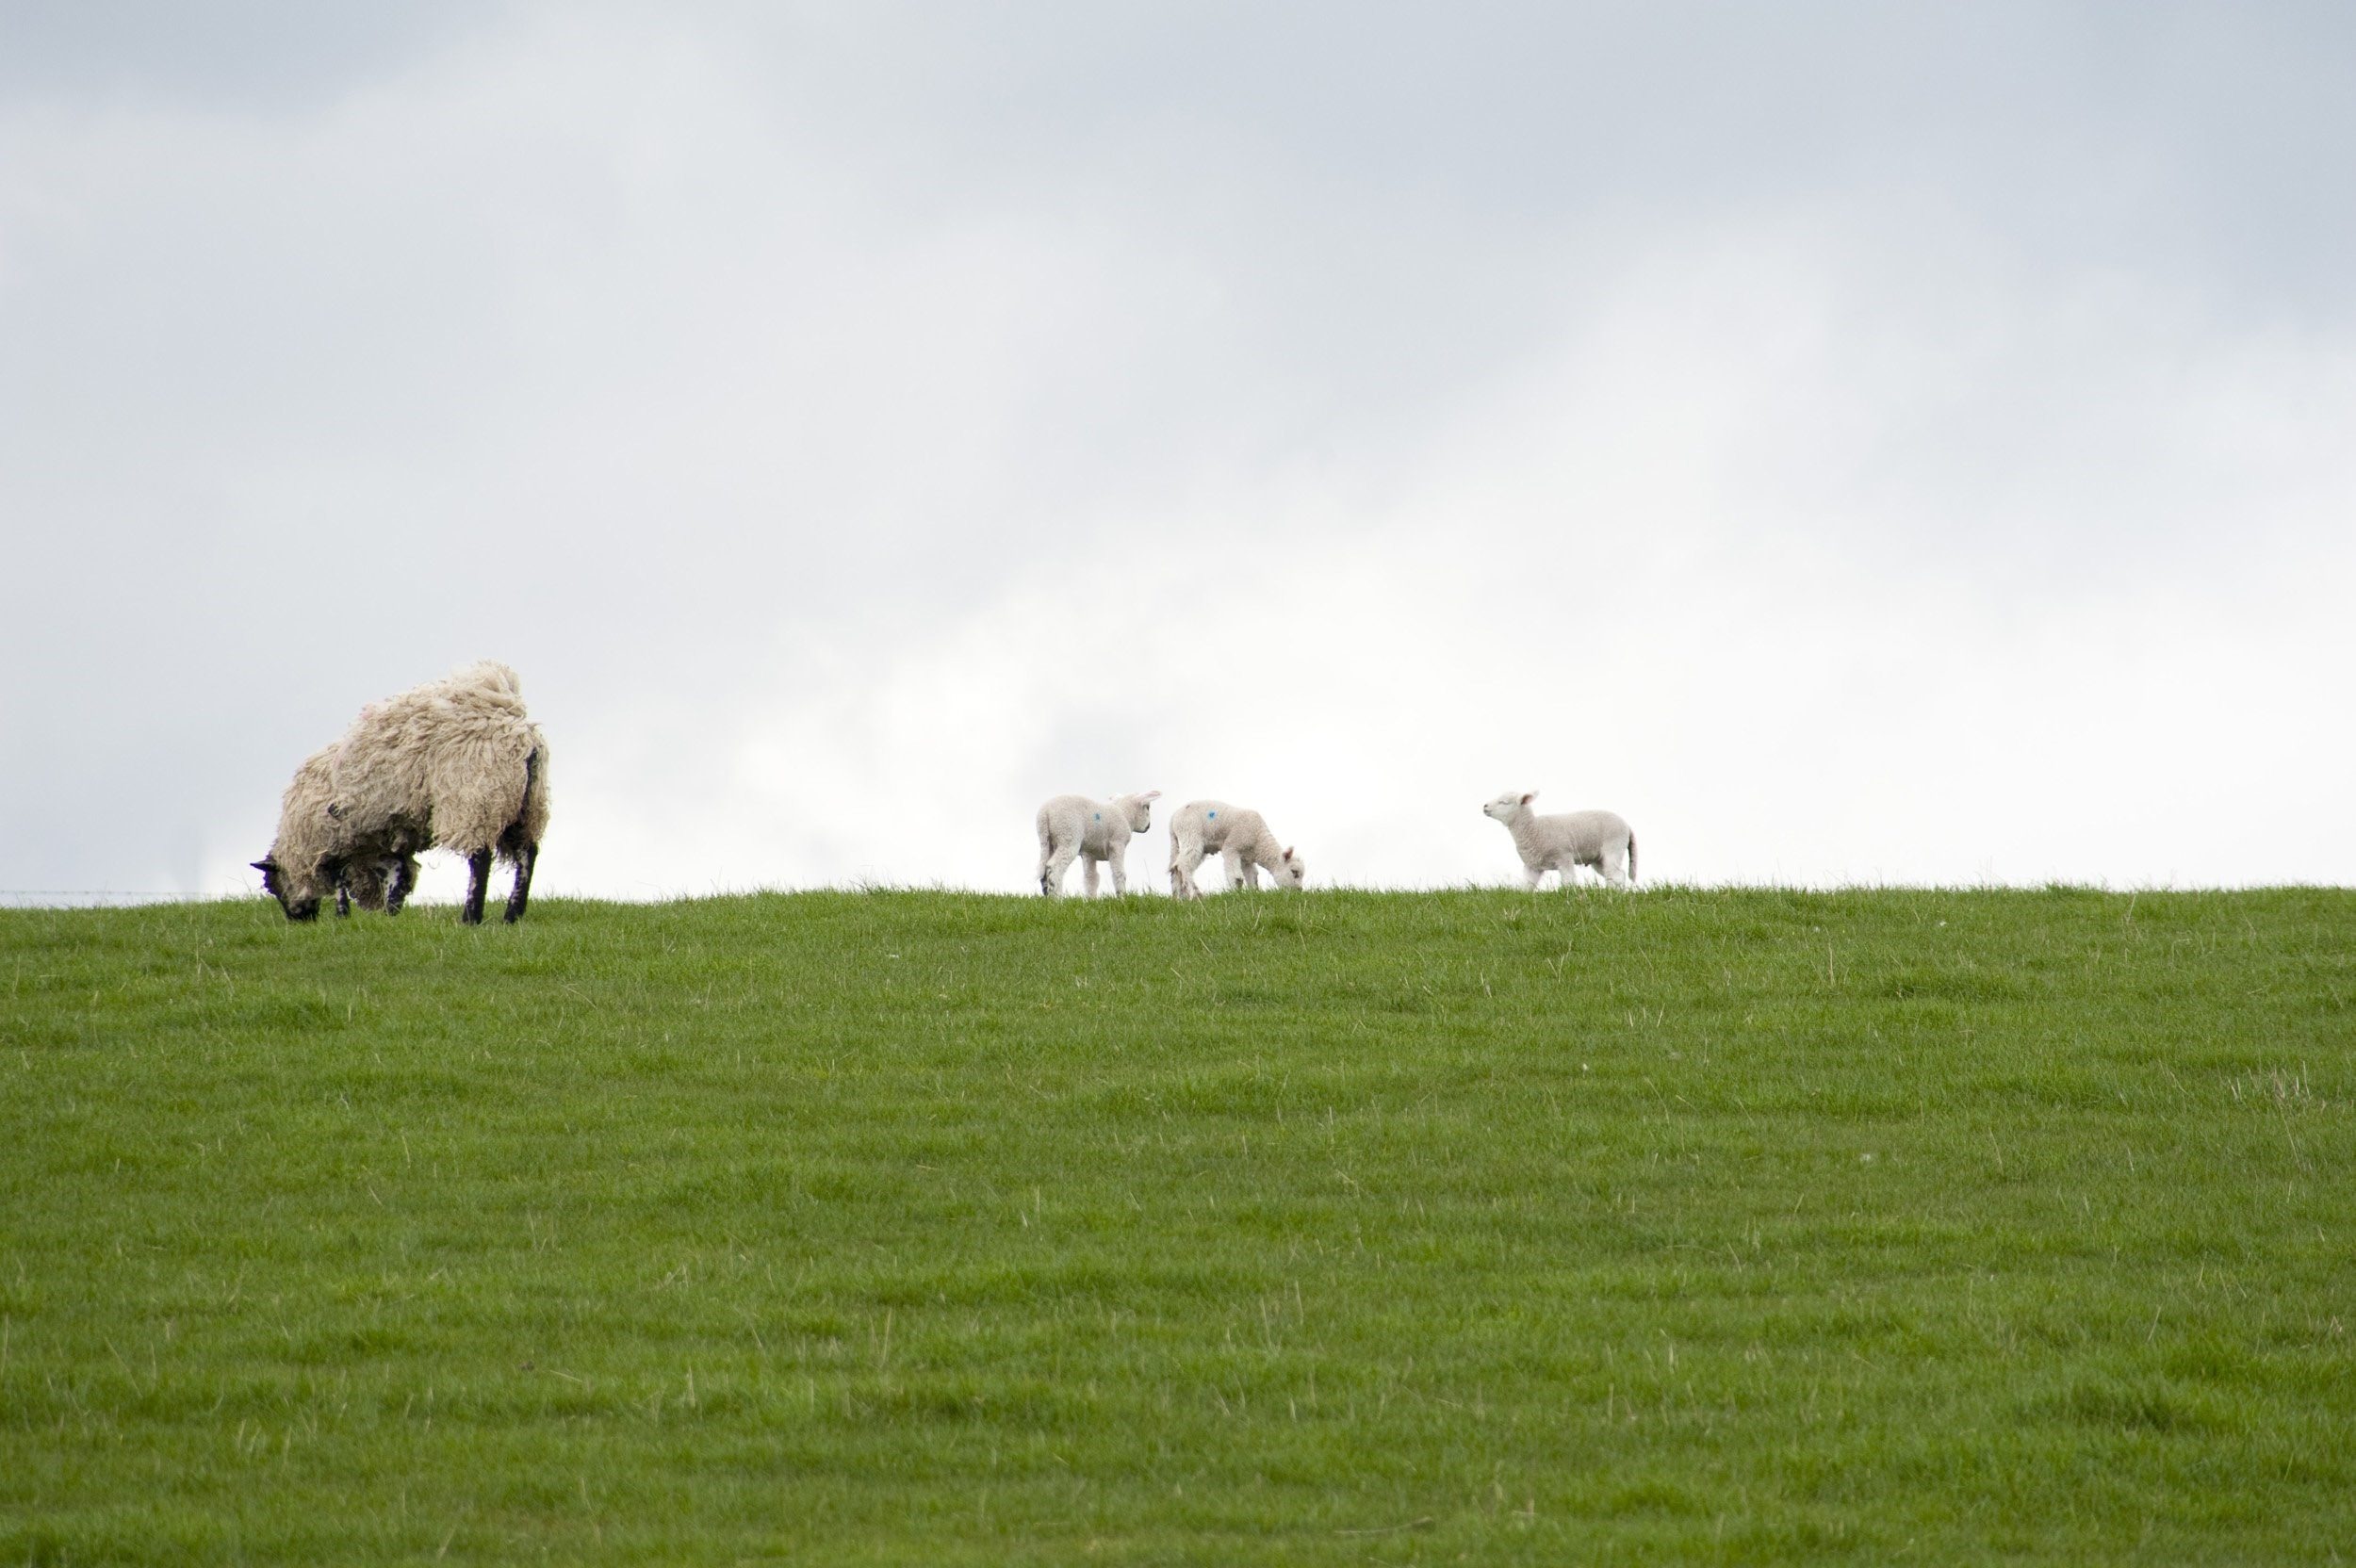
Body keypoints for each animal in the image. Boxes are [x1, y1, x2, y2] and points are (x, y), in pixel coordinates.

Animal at [253, 654, 551, 923]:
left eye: (273, 885)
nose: (298, 920)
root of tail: (519, 734)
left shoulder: (333, 842)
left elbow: (340, 880)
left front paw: (343, 915)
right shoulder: (381, 839)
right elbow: (396, 874)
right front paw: (391, 914)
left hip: (474, 798)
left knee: (480, 857)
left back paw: (471, 916)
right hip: (525, 805)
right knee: (527, 854)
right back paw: (512, 914)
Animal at [1041, 786, 1169, 899]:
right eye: (1147, 807)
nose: (1148, 826)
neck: (1125, 814)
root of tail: (1045, 812)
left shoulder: (1089, 853)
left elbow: (1091, 878)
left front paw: (1091, 900)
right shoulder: (1117, 844)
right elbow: (1119, 873)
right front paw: (1122, 898)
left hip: (1047, 841)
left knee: (1044, 868)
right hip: (1068, 836)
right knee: (1054, 866)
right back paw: (1057, 899)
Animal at [1173, 800, 1310, 899]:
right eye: (1294, 872)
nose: (1299, 890)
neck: (1259, 840)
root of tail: (1173, 819)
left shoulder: (1246, 858)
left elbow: (1253, 876)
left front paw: (1253, 893)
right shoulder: (1231, 847)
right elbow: (1236, 877)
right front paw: (1235, 894)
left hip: (1183, 842)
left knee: (1175, 867)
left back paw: (1180, 897)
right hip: (1191, 833)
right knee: (1183, 865)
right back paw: (1195, 894)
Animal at [1470, 786, 1640, 885]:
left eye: (1504, 802)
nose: (1485, 806)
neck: (1534, 829)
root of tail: (1628, 826)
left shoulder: (1564, 857)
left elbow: (1569, 882)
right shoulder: (1532, 866)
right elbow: (1526, 887)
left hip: (1614, 846)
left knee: (1617, 875)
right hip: (1599, 858)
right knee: (1615, 875)